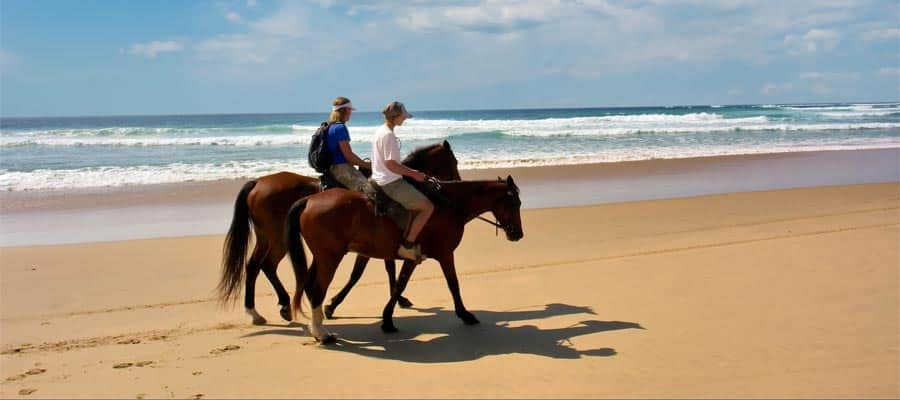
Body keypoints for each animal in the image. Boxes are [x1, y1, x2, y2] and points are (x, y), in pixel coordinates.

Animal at [215, 141, 460, 324]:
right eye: (454, 161)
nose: (457, 181)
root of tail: (257, 182)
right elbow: (359, 274)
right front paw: (333, 305)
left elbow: (387, 269)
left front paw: (399, 299)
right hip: (276, 239)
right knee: (263, 265)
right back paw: (278, 306)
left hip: (267, 238)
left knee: (256, 266)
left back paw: (264, 309)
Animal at [284, 177, 524, 342]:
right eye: (515, 204)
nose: (518, 234)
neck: (450, 205)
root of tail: (309, 200)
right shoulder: (444, 254)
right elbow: (451, 284)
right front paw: (465, 315)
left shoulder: (415, 258)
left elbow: (400, 284)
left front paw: (388, 319)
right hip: (330, 258)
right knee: (317, 289)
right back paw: (322, 334)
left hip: (321, 257)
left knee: (310, 286)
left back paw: (317, 327)